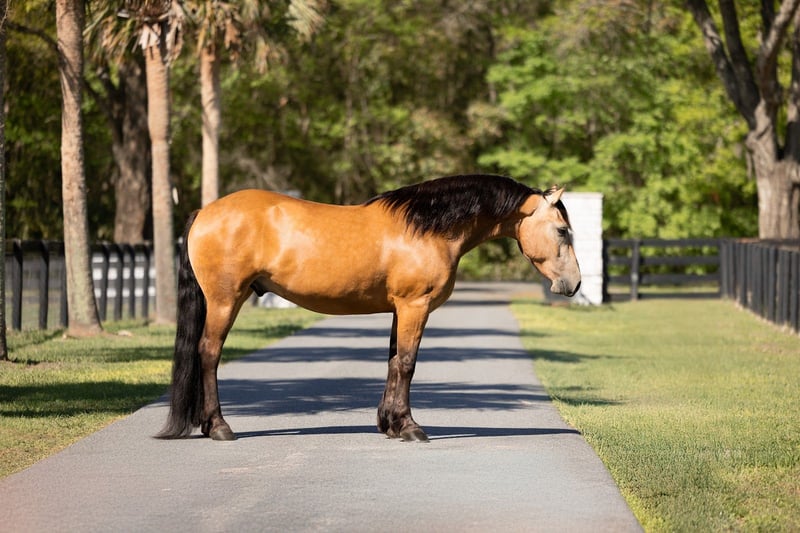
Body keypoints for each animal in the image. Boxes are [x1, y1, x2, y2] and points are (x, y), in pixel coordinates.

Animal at [156, 174, 581, 443]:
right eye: (562, 231)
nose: (573, 284)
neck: (426, 228)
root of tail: (205, 213)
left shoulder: (400, 309)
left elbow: (393, 362)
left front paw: (390, 424)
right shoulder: (415, 306)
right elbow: (407, 364)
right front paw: (410, 428)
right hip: (225, 300)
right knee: (209, 354)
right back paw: (219, 427)